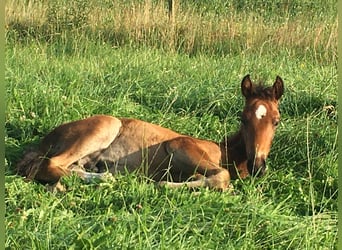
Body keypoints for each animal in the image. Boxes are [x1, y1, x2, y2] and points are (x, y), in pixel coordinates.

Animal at [15, 74, 284, 191]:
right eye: (242, 118)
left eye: (276, 121)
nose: (258, 165)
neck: (225, 152)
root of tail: (45, 140)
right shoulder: (179, 145)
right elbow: (222, 176)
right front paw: (164, 184)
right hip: (105, 126)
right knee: (49, 165)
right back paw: (107, 179)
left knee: (66, 168)